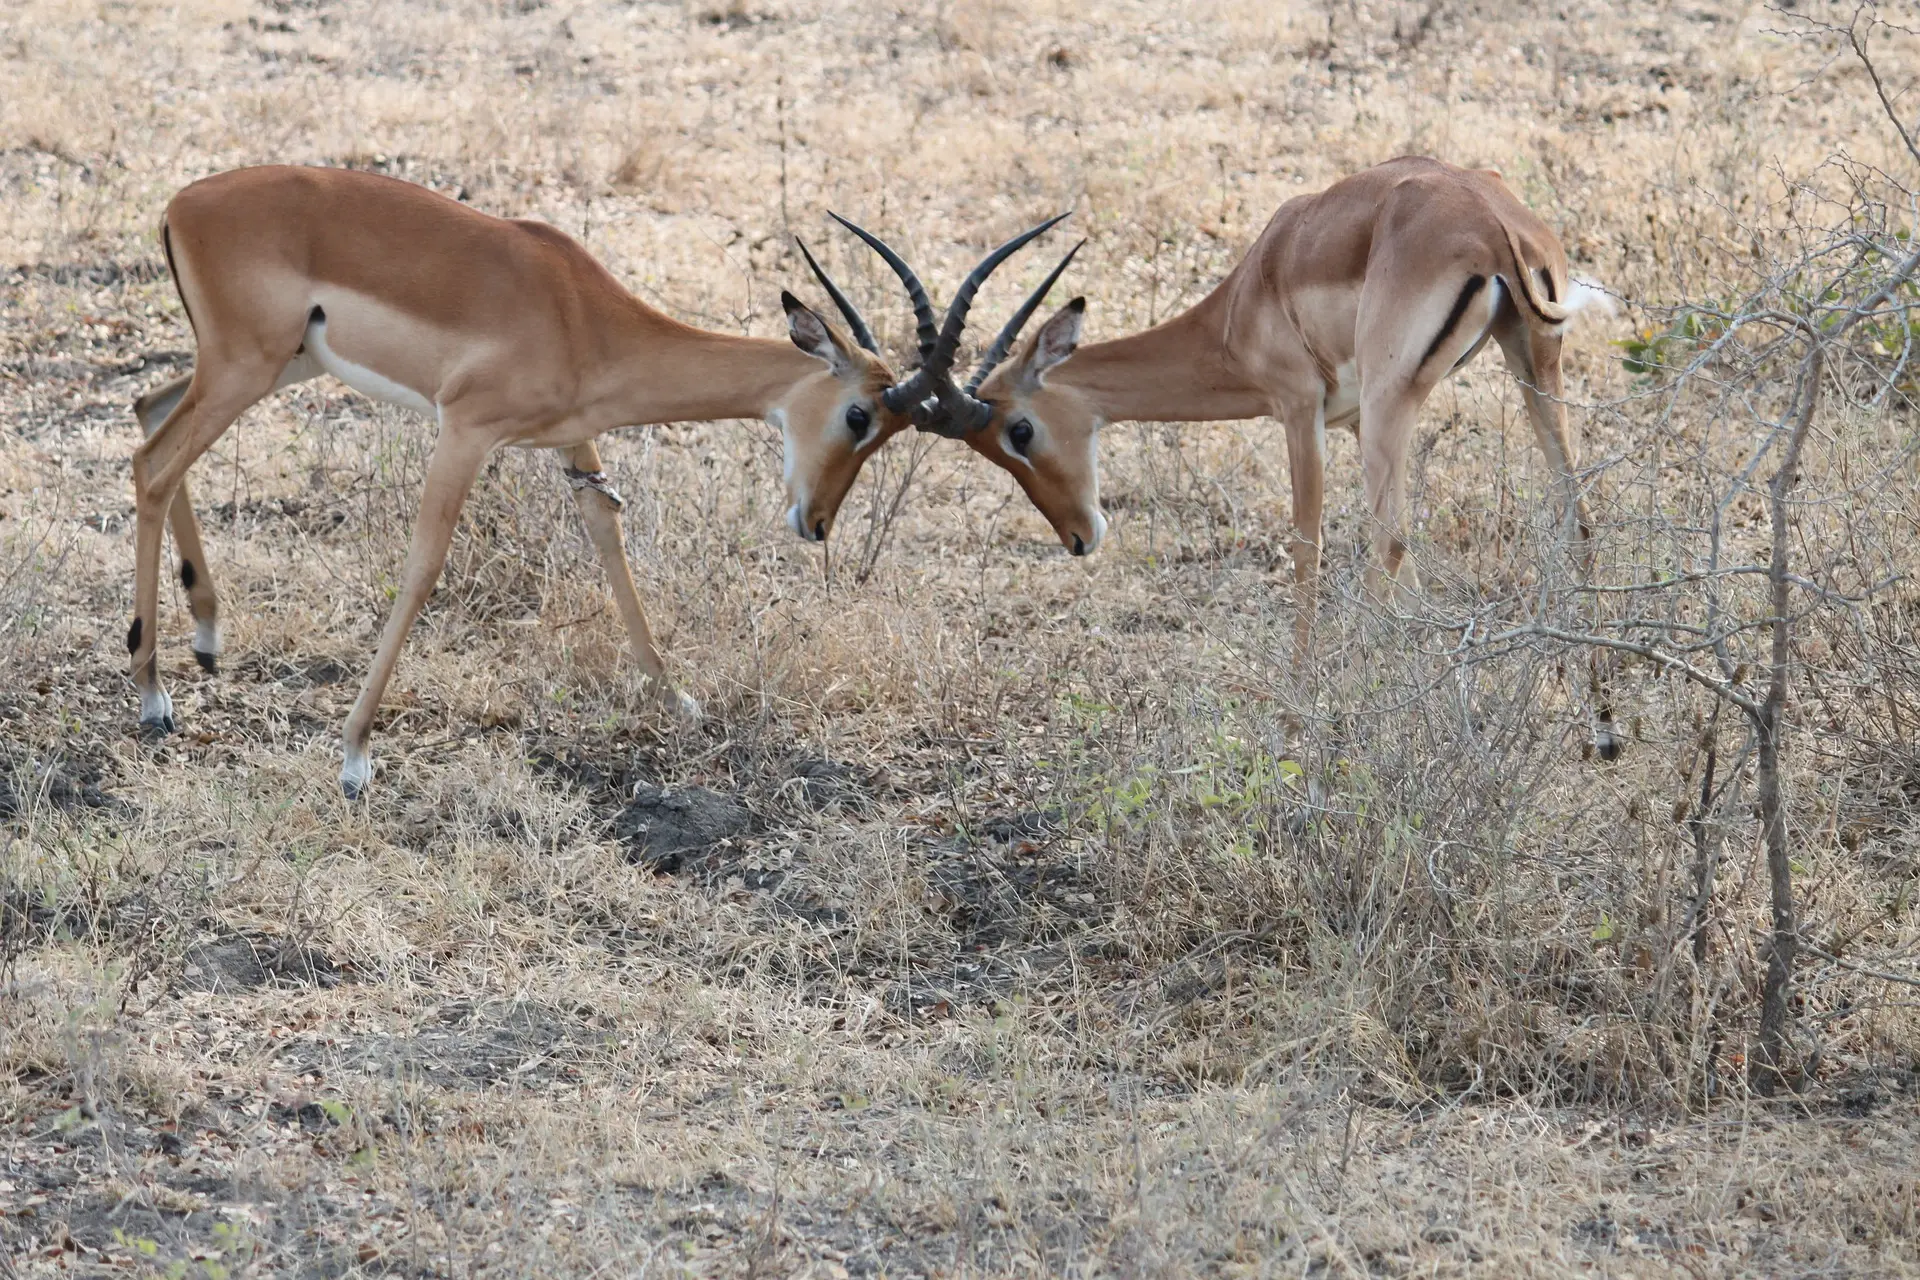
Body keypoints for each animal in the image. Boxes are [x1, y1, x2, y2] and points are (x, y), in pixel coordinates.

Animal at [131, 165, 925, 794]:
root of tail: (181, 203)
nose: (816, 522)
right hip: (246, 370)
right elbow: (423, 567)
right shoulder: (465, 430)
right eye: (859, 415)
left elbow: (609, 540)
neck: (581, 315)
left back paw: (205, 638)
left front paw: (678, 701)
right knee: (153, 470)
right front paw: (355, 758)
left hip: (270, 368)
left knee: (148, 415)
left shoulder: (573, 437)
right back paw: (152, 695)